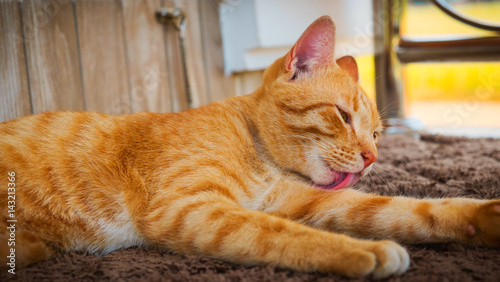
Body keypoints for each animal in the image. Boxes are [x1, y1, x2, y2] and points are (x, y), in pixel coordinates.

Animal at [0, 16, 500, 278]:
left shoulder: (307, 200)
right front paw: (365, 252)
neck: (261, 158)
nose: (372, 158)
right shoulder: (189, 208)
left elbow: (403, 209)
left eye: (377, 134)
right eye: (342, 116)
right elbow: (281, 233)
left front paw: (481, 215)